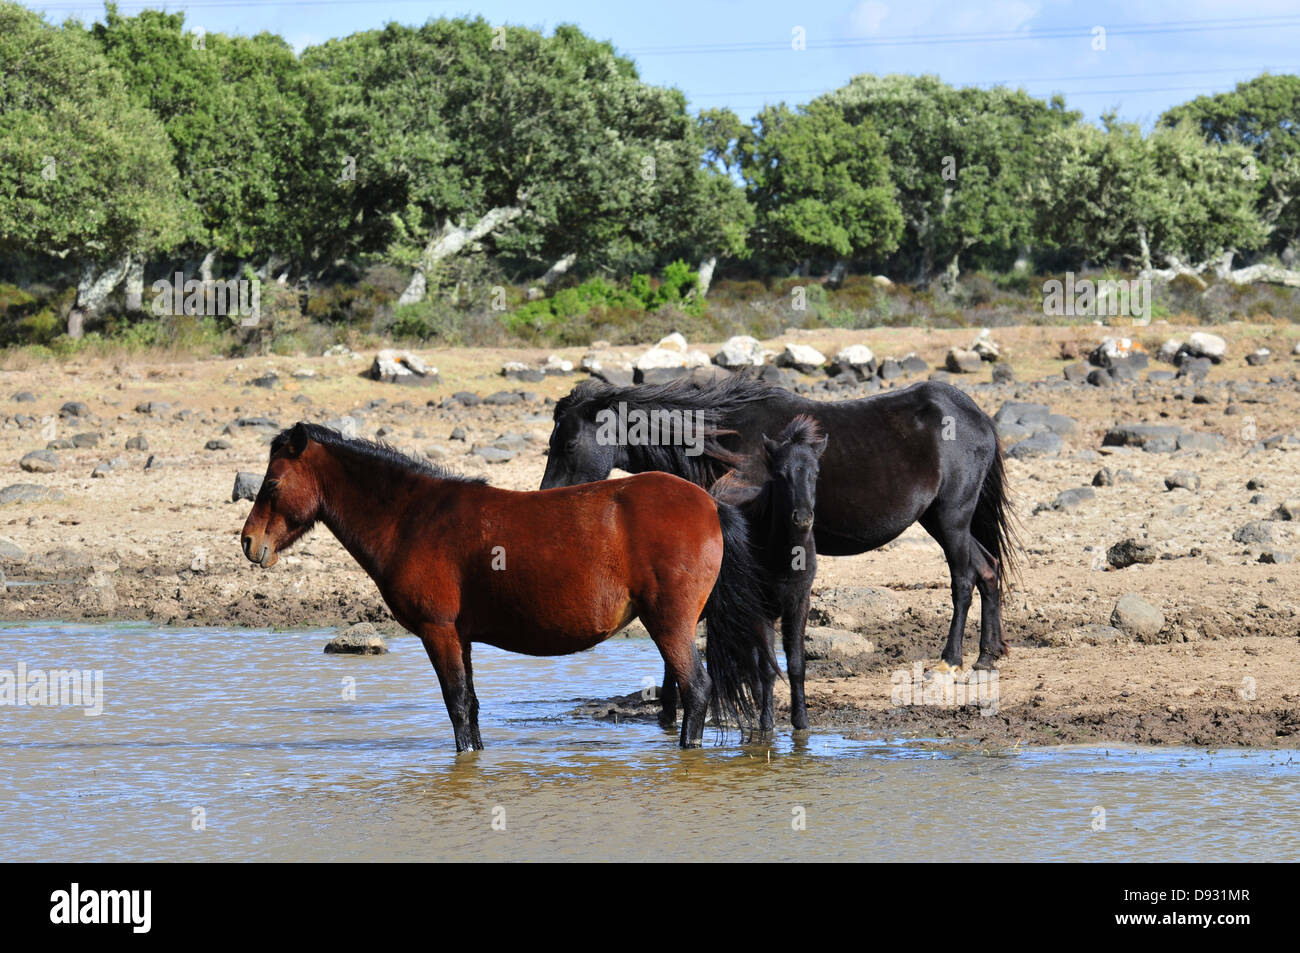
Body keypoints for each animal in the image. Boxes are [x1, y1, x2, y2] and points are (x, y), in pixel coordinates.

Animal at [241, 421, 769, 748]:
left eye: (270, 485)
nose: (249, 543)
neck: (413, 518)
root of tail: (709, 503)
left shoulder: (438, 632)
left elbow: (456, 706)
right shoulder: (460, 637)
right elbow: (471, 707)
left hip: (670, 624)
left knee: (697, 690)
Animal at [538, 369, 1013, 707]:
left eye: (568, 443)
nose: (545, 499)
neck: (722, 441)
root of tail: (978, 417)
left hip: (951, 519)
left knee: (964, 579)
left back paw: (950, 660)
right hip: (941, 520)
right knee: (988, 569)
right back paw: (986, 657)